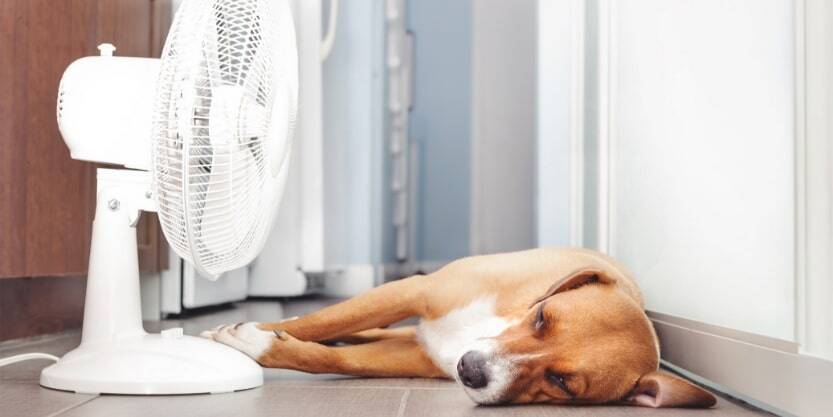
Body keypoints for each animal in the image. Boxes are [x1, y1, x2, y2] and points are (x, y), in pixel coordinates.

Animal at [200, 247, 716, 406]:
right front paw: (243, 332)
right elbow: (324, 318)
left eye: (562, 382)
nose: (471, 371)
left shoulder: (413, 356)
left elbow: (332, 356)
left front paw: (266, 344)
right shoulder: (412, 290)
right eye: (542, 317)